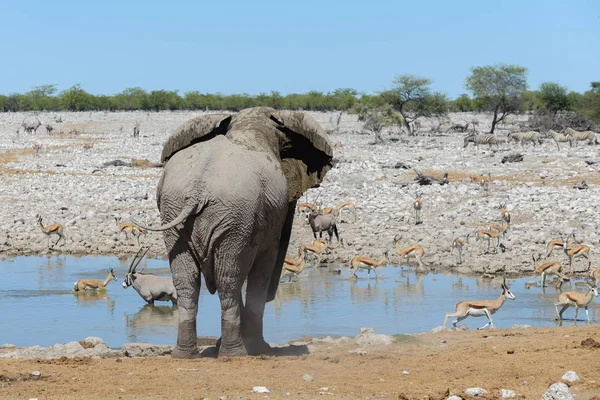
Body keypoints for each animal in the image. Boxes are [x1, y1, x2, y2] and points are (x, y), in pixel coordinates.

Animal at [135, 106, 332, 356]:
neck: (249, 124)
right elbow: (262, 268)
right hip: (234, 215)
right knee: (228, 279)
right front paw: (259, 347)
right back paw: (235, 353)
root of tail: (198, 189)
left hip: (178, 211)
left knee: (189, 280)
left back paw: (184, 354)